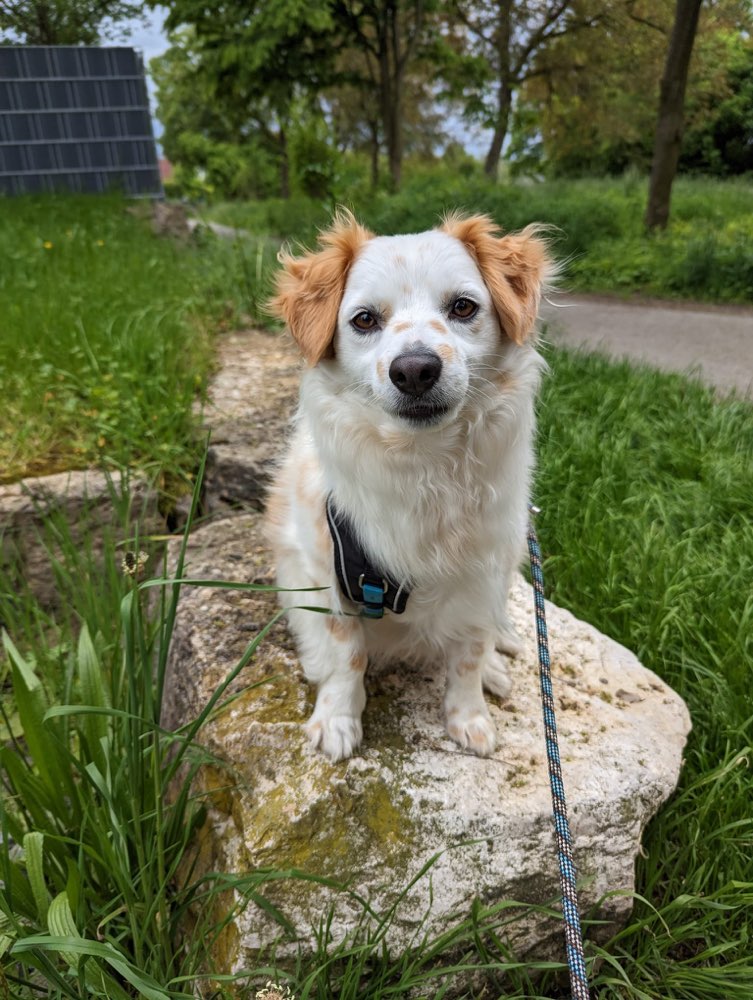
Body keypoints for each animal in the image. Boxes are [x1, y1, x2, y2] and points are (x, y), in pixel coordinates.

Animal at [264, 209, 552, 756]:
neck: (422, 465)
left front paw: (469, 715)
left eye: (463, 307)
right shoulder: (326, 570)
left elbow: (469, 650)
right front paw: (338, 718)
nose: (415, 369)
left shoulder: (484, 566)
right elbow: (345, 653)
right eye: (364, 320)